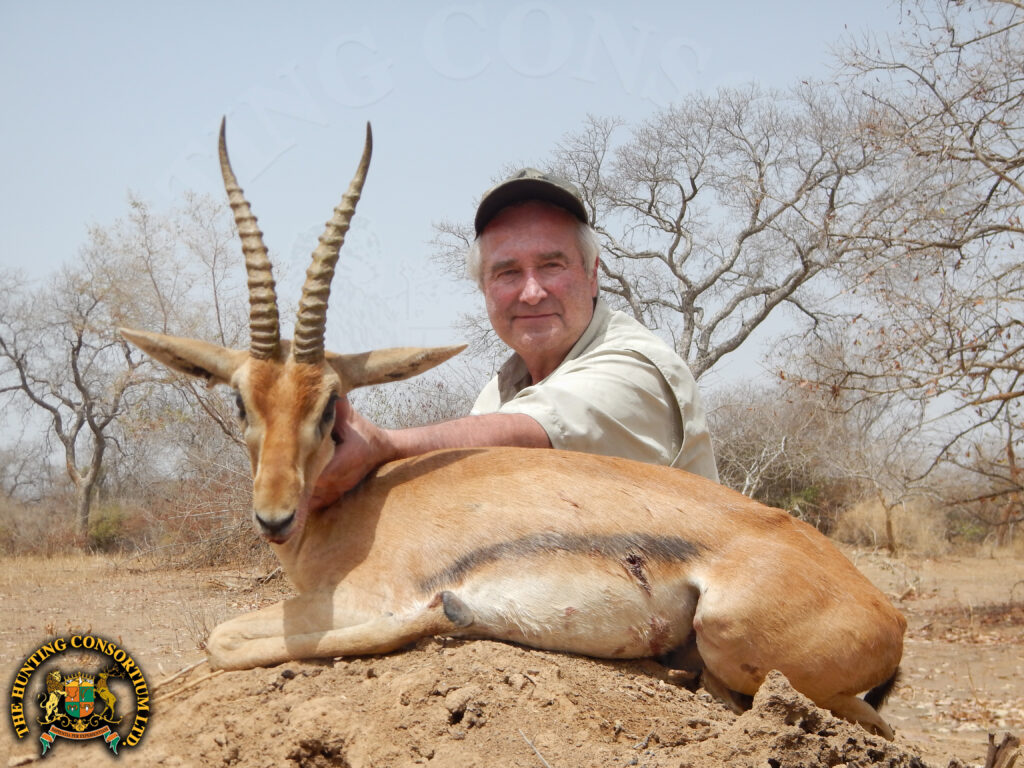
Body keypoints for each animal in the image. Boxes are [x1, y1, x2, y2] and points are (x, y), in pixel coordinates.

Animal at [120, 119, 906, 740]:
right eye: (241, 403)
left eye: (330, 406)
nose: (274, 517)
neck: (349, 509)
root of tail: (888, 616)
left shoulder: (353, 599)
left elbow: (219, 636)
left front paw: (444, 613)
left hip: (736, 640)